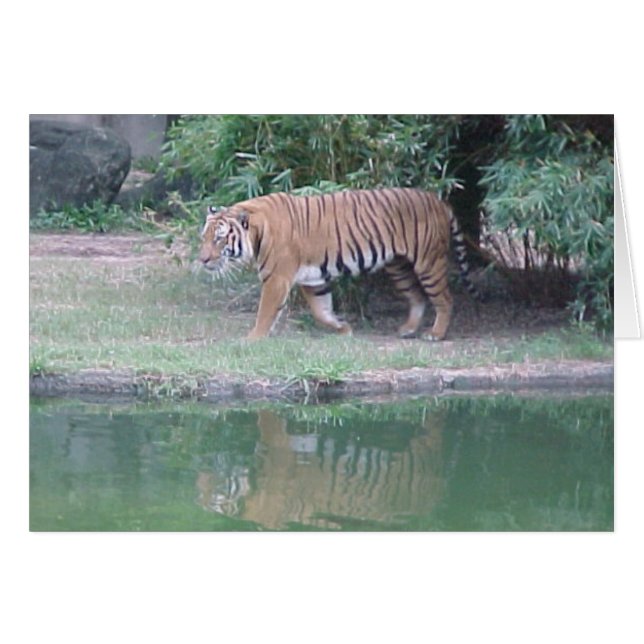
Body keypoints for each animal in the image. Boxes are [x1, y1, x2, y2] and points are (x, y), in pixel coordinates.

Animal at [199, 188, 477, 340]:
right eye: (204, 237)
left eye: (219, 239)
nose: (202, 259)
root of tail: (438, 200)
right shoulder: (314, 280)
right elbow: (321, 312)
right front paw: (344, 329)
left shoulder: (276, 279)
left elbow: (265, 313)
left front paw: (252, 339)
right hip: (398, 266)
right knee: (417, 296)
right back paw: (408, 329)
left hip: (428, 262)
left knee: (445, 299)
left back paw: (436, 334)